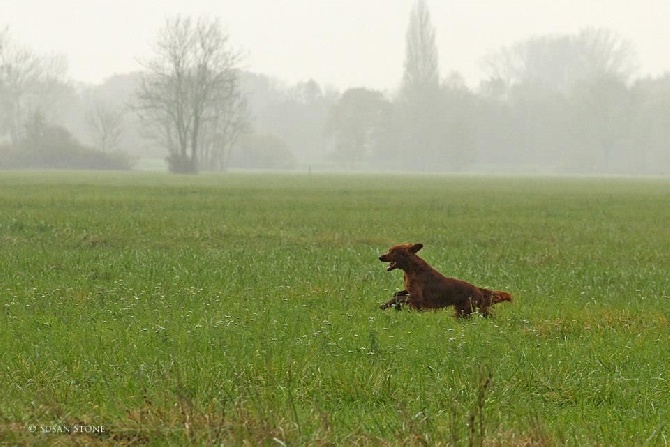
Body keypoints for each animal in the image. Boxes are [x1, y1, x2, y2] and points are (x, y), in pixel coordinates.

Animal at [378, 245, 516, 318]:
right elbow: (397, 294)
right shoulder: (410, 293)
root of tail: (478, 289)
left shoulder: (417, 298)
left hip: (465, 311)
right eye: (389, 250)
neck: (412, 270)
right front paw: (396, 307)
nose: (380, 257)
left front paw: (384, 305)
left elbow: (396, 298)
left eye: (394, 251)